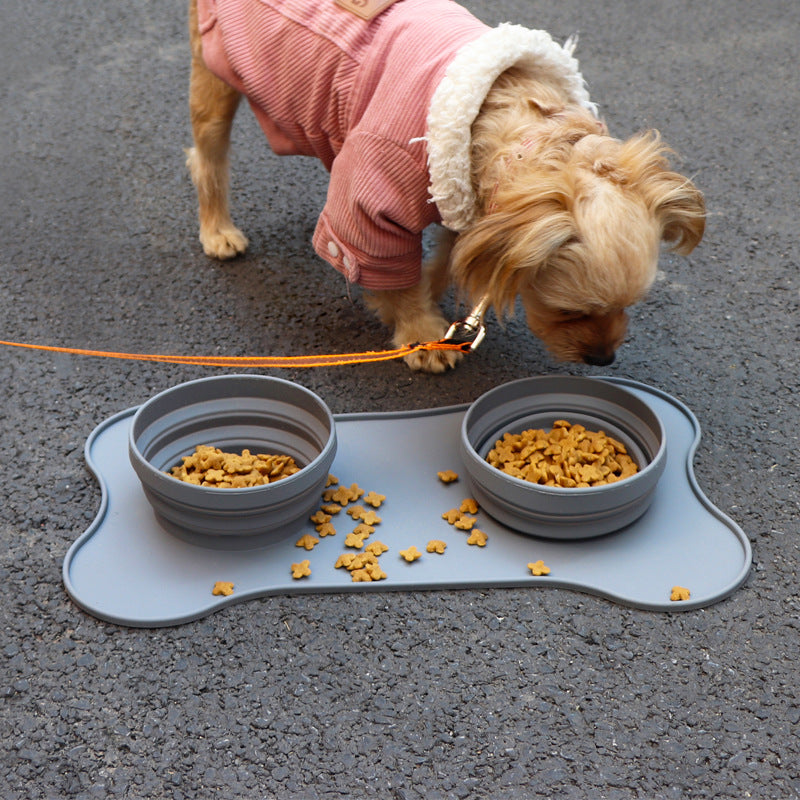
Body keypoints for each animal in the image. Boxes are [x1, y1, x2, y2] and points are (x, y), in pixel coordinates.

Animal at [184, 0, 704, 374]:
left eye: (628, 307)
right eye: (571, 311)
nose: (604, 359)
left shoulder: (461, 197)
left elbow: (446, 261)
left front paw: (428, 307)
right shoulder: (372, 203)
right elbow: (394, 270)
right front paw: (419, 331)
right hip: (214, 71)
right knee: (206, 157)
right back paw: (217, 231)